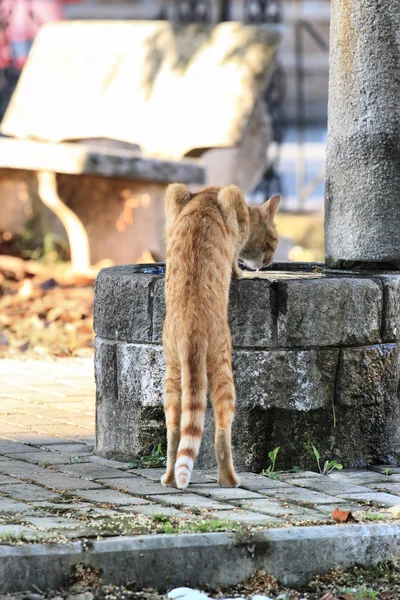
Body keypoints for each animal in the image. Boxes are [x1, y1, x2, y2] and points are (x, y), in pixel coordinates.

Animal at [161, 183, 280, 488]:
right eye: (275, 239)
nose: (271, 261)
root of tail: (190, 325)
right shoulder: (231, 198)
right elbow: (235, 257)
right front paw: (240, 272)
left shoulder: (175, 197)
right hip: (224, 368)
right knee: (222, 430)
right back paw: (229, 479)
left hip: (172, 373)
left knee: (175, 429)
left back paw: (168, 478)